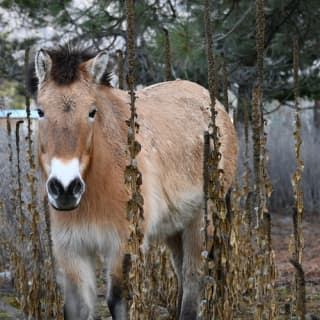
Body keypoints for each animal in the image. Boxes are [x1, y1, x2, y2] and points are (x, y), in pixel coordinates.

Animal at [27, 43, 238, 318]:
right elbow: (78, 307)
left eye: (91, 112)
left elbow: (119, 300)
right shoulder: (72, 252)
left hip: (201, 222)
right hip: (176, 228)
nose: (65, 189)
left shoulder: (123, 247)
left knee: (194, 280)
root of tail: (216, 106)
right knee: (182, 274)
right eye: (40, 111)